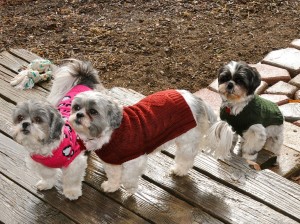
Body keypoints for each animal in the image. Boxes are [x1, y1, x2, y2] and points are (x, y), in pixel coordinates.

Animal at [11, 59, 99, 200]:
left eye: (38, 119)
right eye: (20, 118)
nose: (25, 124)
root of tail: (84, 81)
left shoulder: (74, 163)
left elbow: (72, 179)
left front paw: (72, 192)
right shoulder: (42, 165)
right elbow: (48, 175)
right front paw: (46, 184)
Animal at [69, 88, 217, 193]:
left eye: (93, 111)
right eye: (76, 107)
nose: (79, 115)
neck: (110, 134)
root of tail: (195, 99)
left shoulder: (135, 160)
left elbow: (128, 177)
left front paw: (131, 189)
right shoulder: (112, 161)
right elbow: (114, 175)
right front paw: (112, 186)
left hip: (187, 142)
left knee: (186, 159)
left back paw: (179, 170)